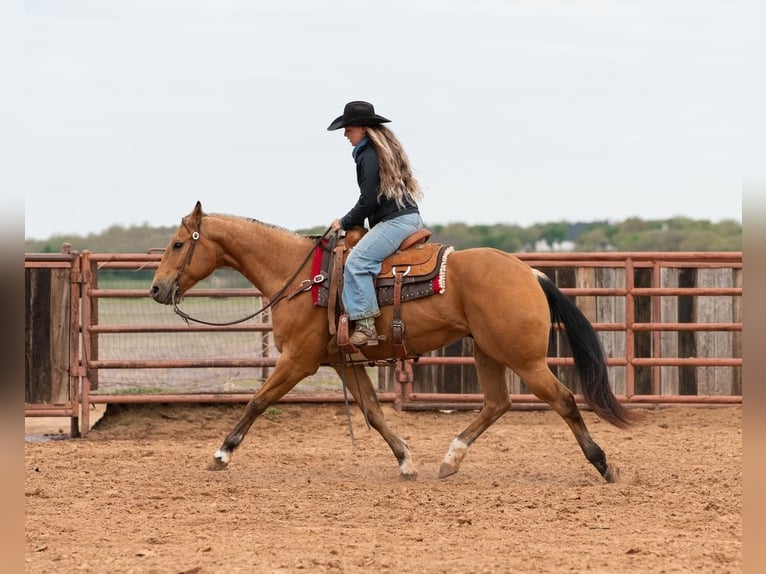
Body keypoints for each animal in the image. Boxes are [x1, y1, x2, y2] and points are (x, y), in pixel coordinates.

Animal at [150, 201, 636, 483]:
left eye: (178, 244)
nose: (156, 289)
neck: (302, 276)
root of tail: (530, 273)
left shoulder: (298, 360)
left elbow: (258, 401)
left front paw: (221, 453)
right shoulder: (342, 361)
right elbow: (372, 412)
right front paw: (405, 460)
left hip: (524, 358)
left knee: (564, 399)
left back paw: (603, 463)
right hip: (487, 352)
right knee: (497, 403)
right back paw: (449, 461)